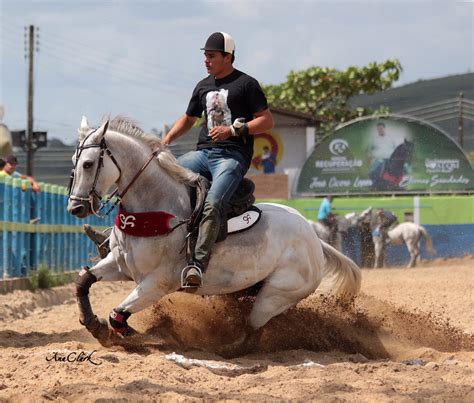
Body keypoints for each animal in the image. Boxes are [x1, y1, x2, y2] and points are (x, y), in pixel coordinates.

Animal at [65, 115, 362, 348]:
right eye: (73, 162)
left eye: (88, 164)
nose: (75, 207)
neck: (161, 209)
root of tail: (316, 242)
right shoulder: (121, 265)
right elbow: (83, 281)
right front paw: (92, 323)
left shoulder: (157, 283)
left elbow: (118, 315)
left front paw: (131, 333)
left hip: (276, 294)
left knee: (252, 330)